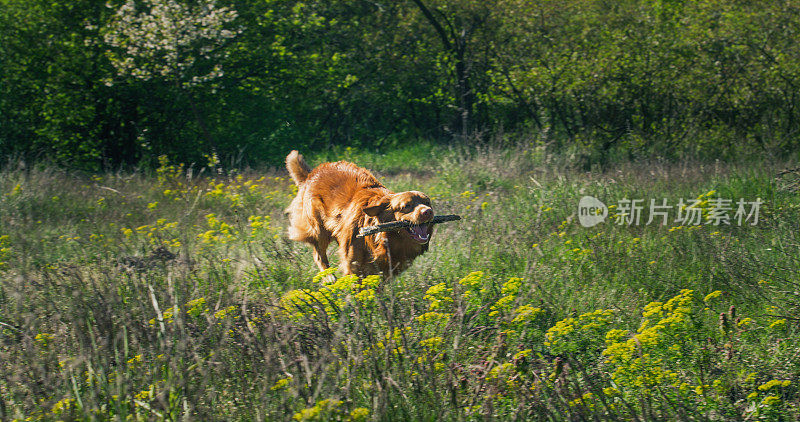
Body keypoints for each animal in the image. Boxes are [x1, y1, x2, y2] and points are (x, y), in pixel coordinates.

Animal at [286, 151, 434, 276]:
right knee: (318, 254)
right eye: (406, 206)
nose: (428, 211)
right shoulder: (353, 265)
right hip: (319, 229)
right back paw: (329, 277)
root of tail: (311, 174)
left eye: (427, 202)